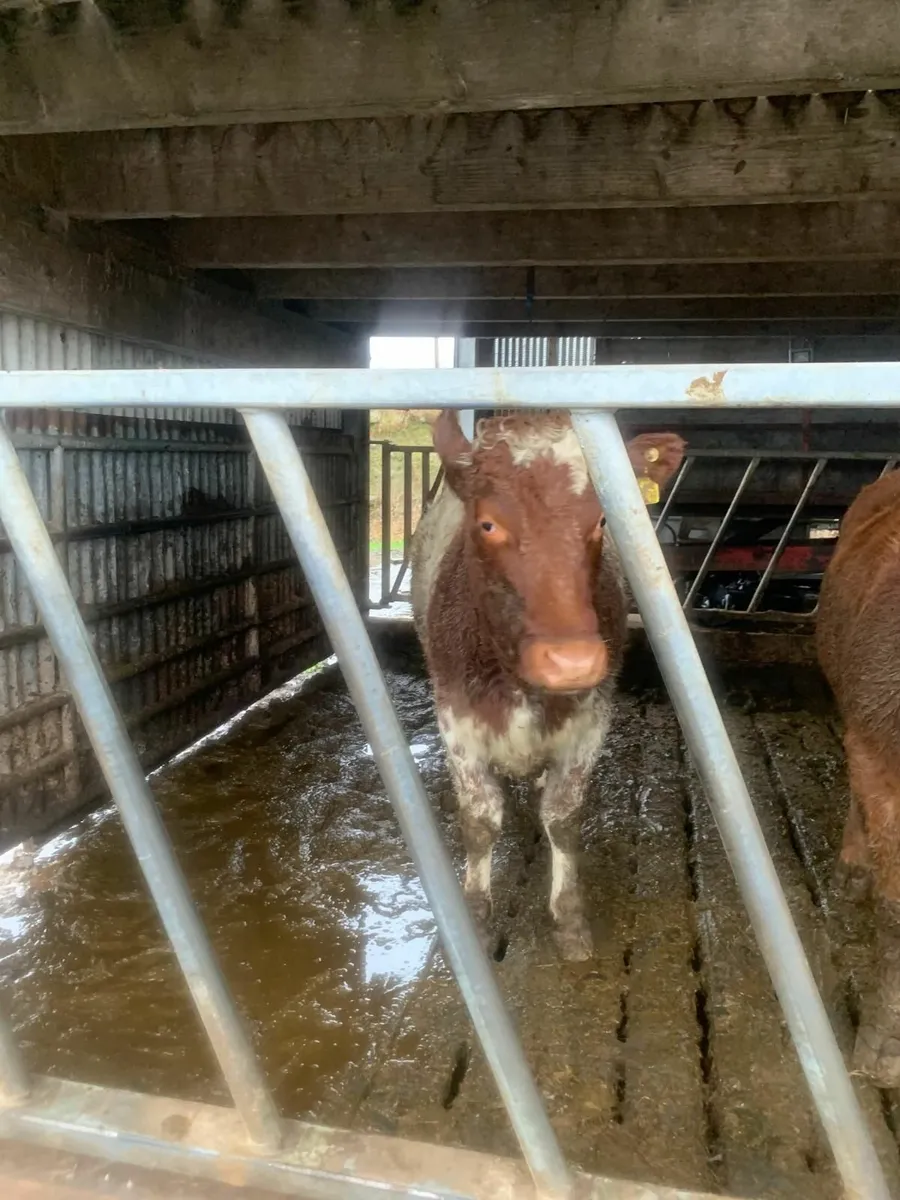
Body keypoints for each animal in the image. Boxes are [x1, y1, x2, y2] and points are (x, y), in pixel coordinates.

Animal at [411, 410, 685, 961]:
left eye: (601, 521)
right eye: (488, 523)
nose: (571, 662)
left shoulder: (590, 722)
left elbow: (562, 818)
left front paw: (569, 917)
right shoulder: (457, 721)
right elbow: (480, 820)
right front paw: (476, 916)